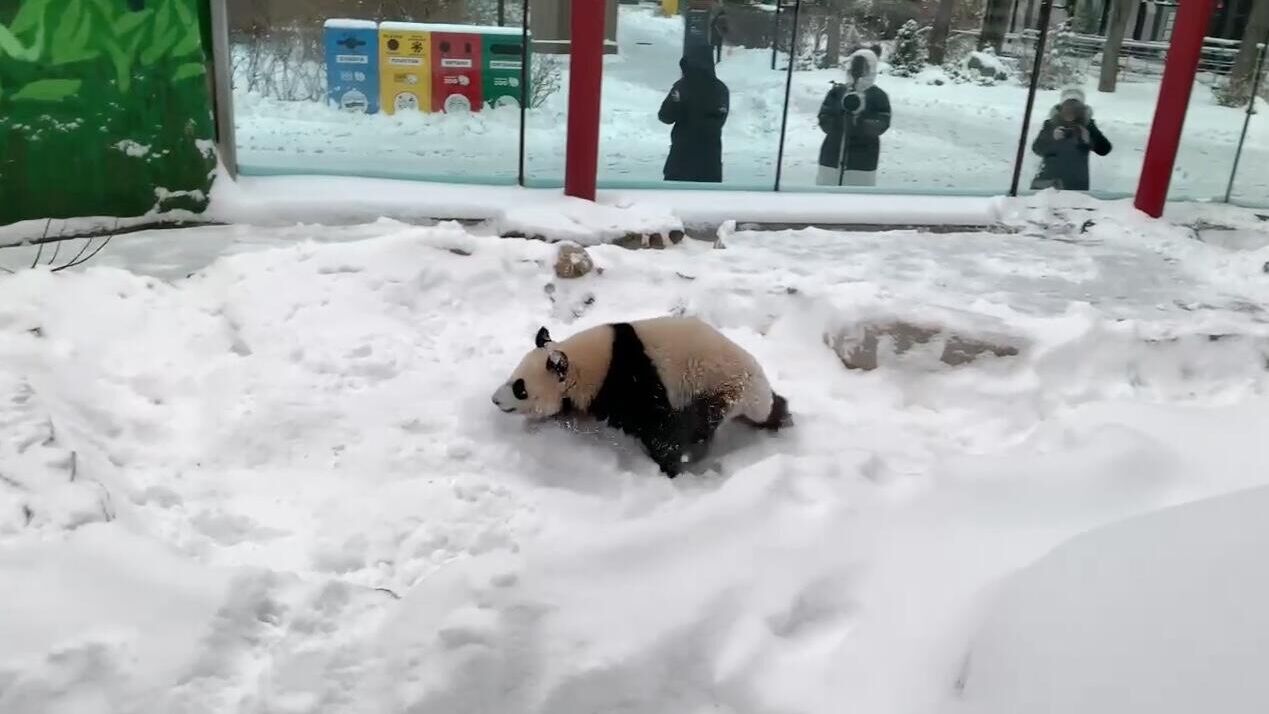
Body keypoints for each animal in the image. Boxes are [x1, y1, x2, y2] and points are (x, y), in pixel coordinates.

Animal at [489, 315, 786, 476]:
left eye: (520, 388)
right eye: (513, 379)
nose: (495, 400)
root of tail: (760, 394)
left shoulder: (634, 381)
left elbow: (659, 429)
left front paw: (668, 465)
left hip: (719, 387)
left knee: (699, 424)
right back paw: (782, 413)